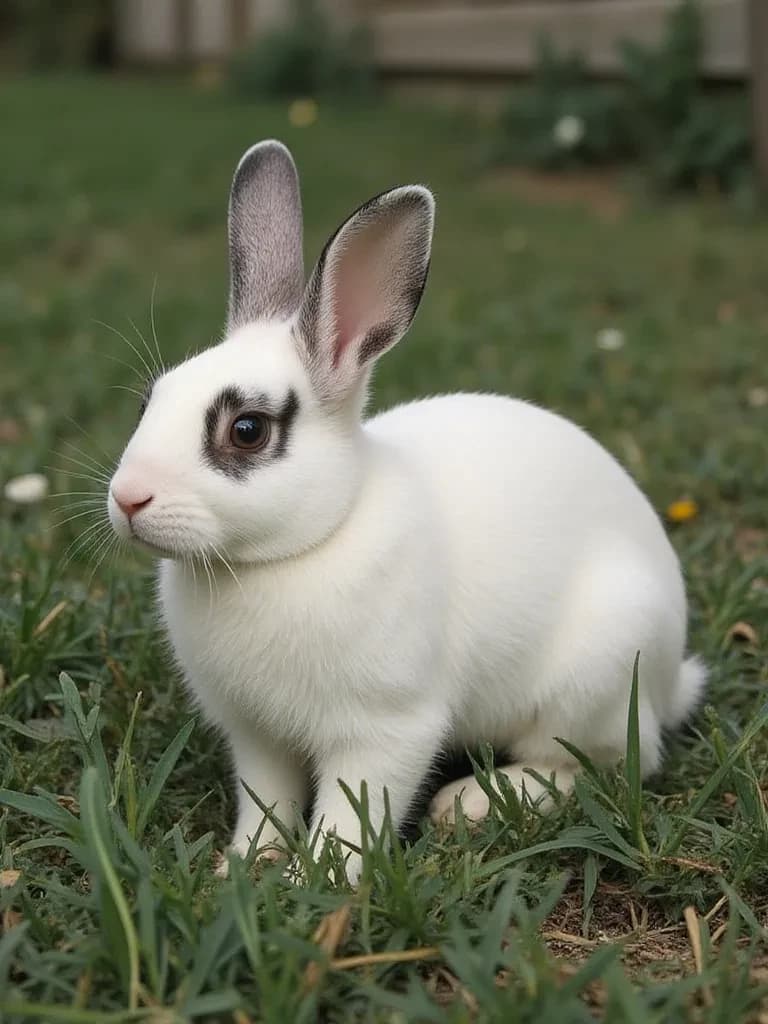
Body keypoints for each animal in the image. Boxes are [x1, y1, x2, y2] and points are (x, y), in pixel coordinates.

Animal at [107, 140, 706, 884]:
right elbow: (267, 801)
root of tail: (671, 676)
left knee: (608, 764)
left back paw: (474, 802)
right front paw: (244, 867)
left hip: (595, 677)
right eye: (149, 400)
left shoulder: (386, 730)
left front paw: (314, 883)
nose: (127, 497)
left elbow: (348, 814)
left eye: (246, 430)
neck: (296, 551)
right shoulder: (256, 735)